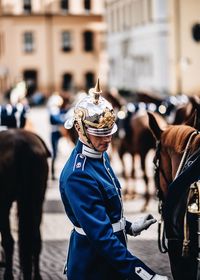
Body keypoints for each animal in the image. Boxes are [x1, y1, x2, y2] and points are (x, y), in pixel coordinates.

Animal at [0, 129, 50, 278]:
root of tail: (20, 144)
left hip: (4, 203)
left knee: (9, 241)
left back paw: (8, 275)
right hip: (37, 201)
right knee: (35, 240)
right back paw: (36, 276)